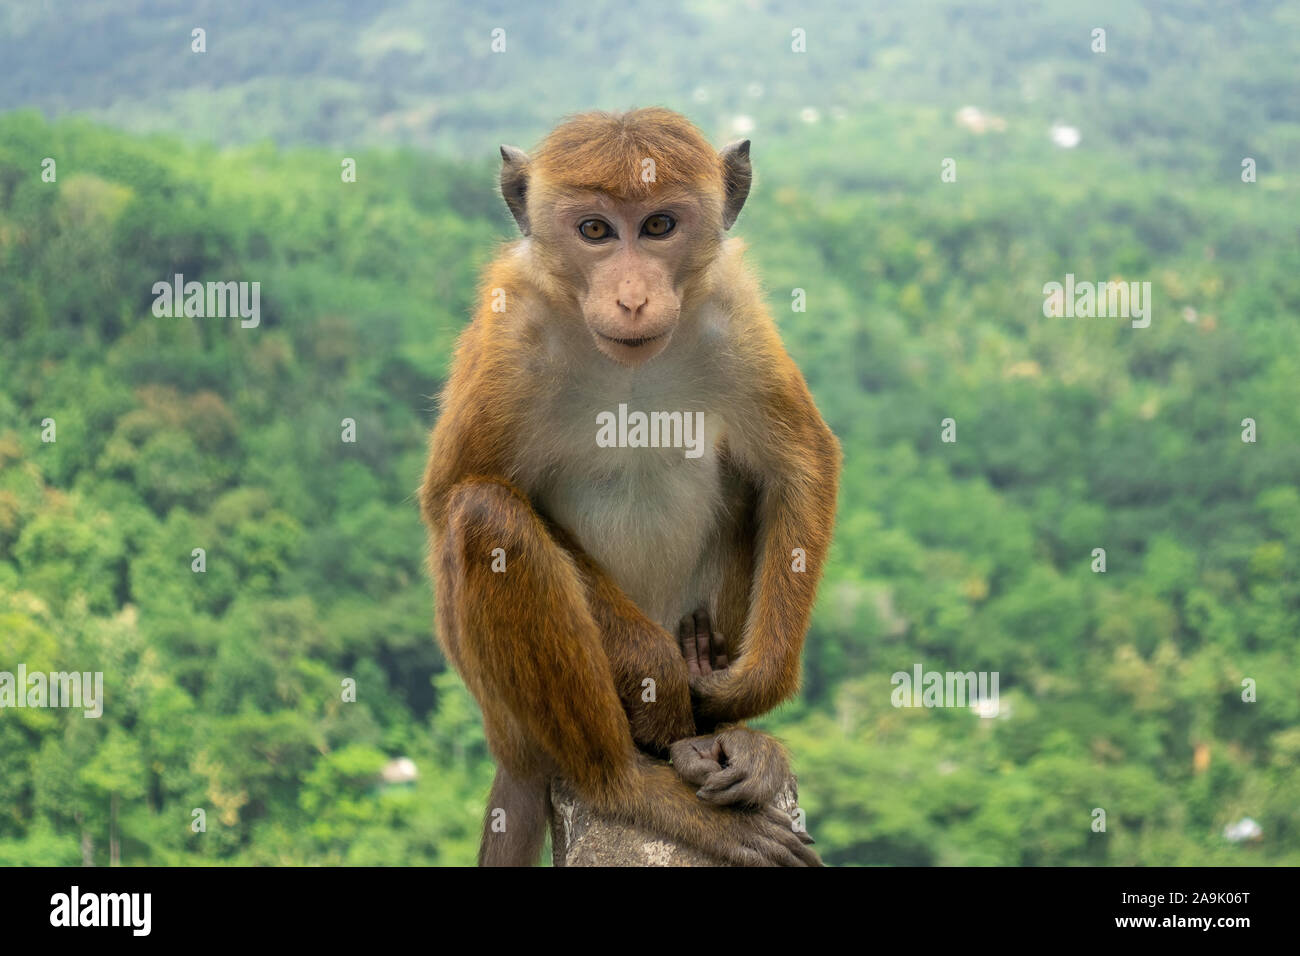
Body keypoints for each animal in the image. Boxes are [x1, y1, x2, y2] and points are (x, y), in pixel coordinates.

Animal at [418, 106, 842, 868]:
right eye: (595, 231)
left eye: (658, 226)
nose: (634, 297)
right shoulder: (509, 329)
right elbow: (452, 497)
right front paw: (658, 674)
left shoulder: (730, 309)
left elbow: (799, 462)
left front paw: (748, 684)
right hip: (512, 717)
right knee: (486, 518)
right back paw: (632, 781)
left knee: (745, 477)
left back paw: (724, 738)